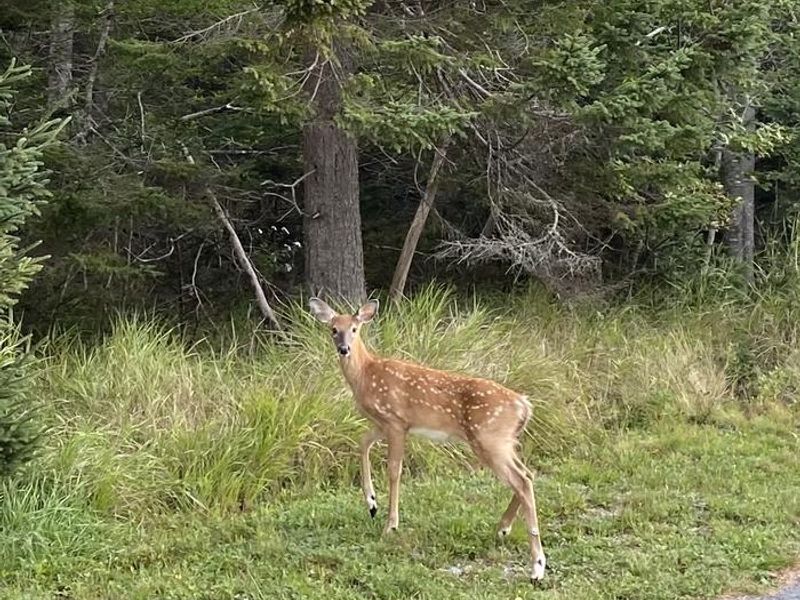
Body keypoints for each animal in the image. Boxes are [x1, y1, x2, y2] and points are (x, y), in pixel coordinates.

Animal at [308, 297, 546, 582]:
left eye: (354, 329)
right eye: (334, 329)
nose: (343, 348)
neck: (366, 374)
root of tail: (524, 405)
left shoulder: (396, 421)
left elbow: (394, 470)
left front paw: (391, 525)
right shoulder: (383, 423)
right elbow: (362, 443)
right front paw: (371, 503)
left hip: (489, 438)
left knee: (522, 481)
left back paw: (537, 566)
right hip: (503, 442)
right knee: (527, 474)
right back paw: (503, 529)